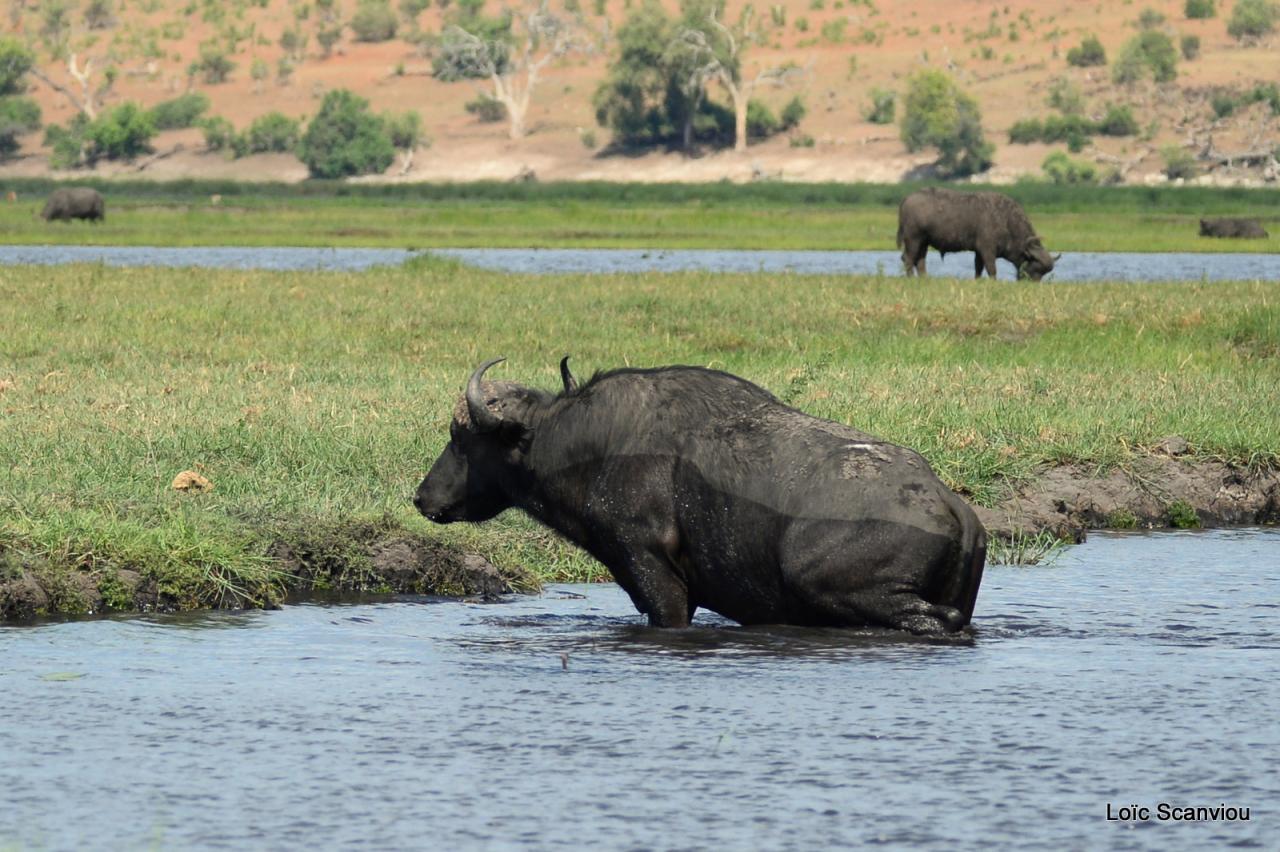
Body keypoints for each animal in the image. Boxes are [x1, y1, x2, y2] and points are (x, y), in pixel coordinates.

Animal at [414, 355, 983, 629]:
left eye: (461, 438)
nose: (422, 498)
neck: (585, 444)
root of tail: (951, 503)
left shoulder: (653, 571)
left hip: (832, 585)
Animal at [896, 185, 1054, 278]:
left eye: (1042, 273)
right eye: (1034, 269)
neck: (1006, 220)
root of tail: (907, 198)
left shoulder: (979, 252)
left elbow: (978, 268)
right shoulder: (987, 250)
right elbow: (991, 269)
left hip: (924, 242)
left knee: (920, 261)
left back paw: (924, 279)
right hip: (913, 239)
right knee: (908, 259)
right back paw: (911, 278)